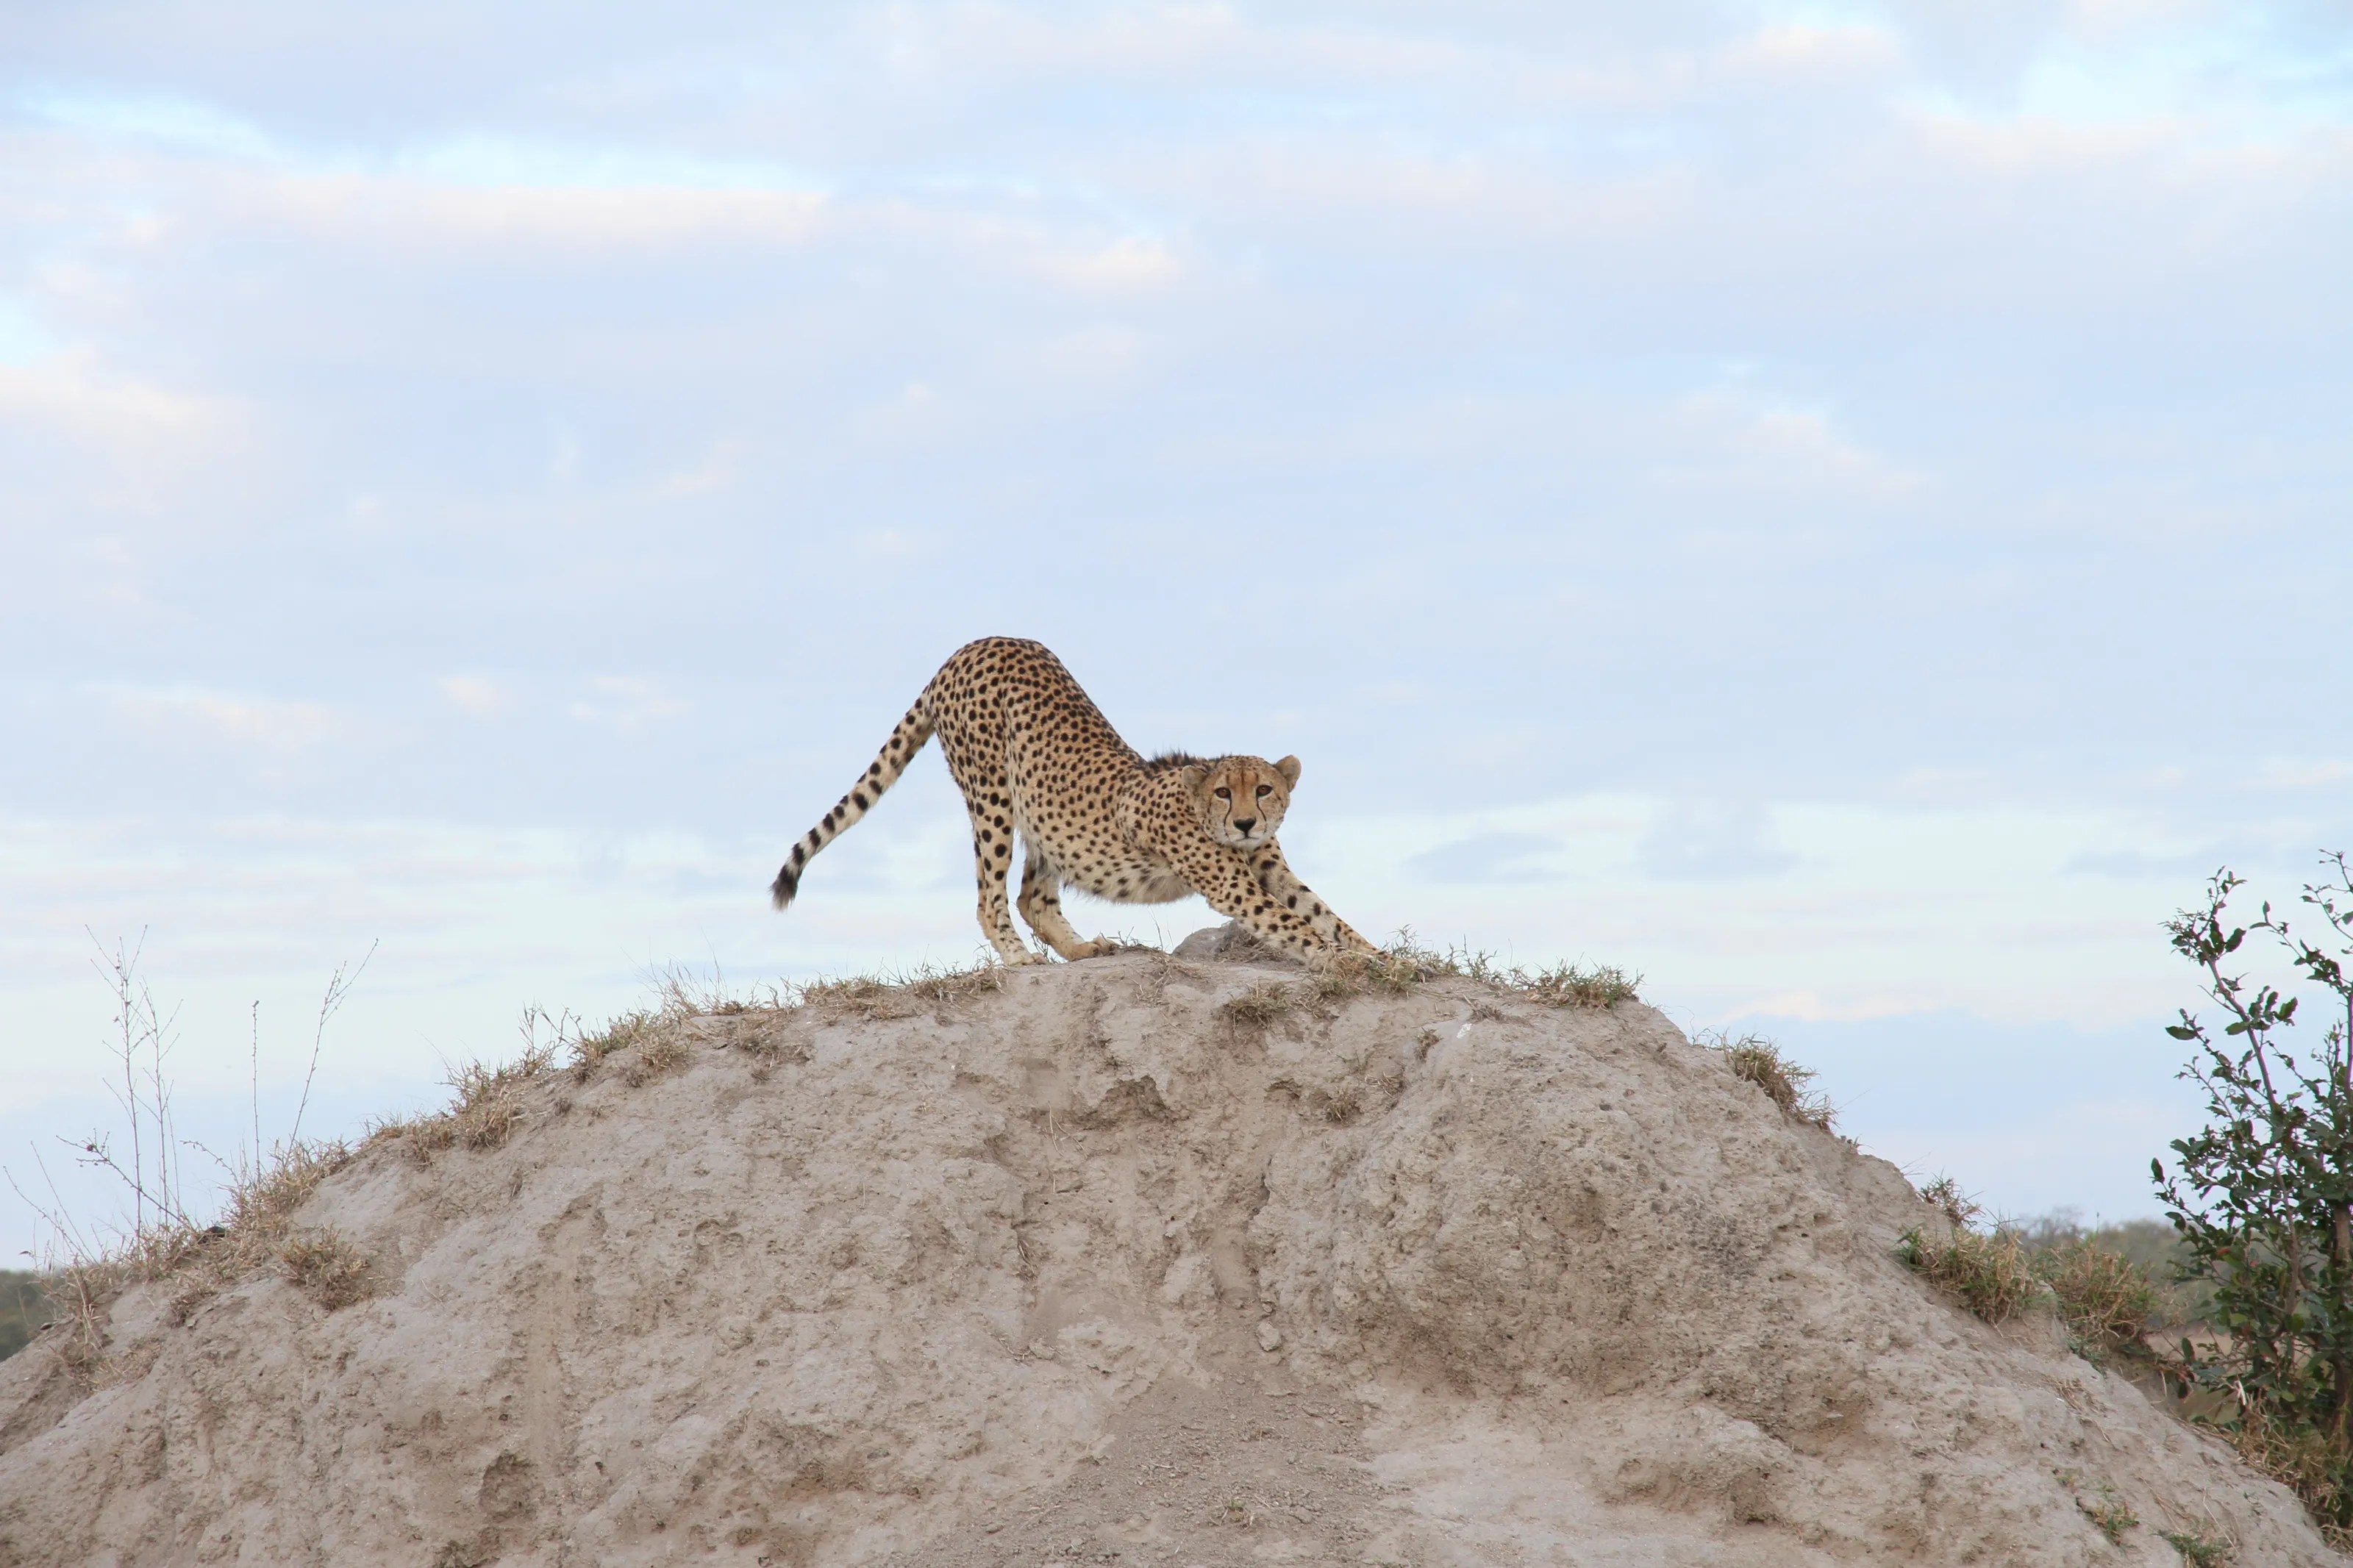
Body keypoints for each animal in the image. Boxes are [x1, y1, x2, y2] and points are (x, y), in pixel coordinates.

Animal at [770, 636, 1375, 966]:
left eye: (1265, 789)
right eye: (1225, 792)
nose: (1248, 822)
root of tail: (976, 644)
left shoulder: (1270, 868)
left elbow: (1322, 910)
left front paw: (1373, 954)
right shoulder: (1232, 884)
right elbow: (1291, 922)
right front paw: (1335, 959)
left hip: (1042, 817)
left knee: (1033, 897)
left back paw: (1085, 950)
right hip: (993, 795)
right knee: (991, 896)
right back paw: (1019, 959)